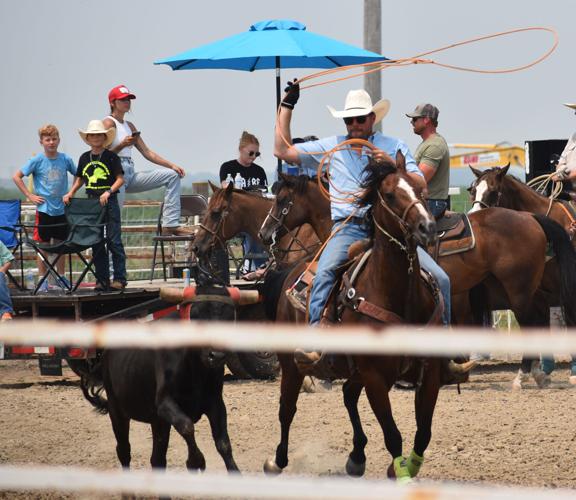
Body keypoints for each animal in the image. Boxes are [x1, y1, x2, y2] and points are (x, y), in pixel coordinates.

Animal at [79, 284, 238, 474]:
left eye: (229, 316)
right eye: (197, 314)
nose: (217, 355)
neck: (195, 368)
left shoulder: (215, 403)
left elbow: (223, 443)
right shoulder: (164, 404)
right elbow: (187, 426)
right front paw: (196, 460)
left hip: (157, 422)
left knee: (157, 459)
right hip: (117, 410)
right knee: (124, 450)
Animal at [260, 159, 464, 480]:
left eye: (421, 189)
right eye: (390, 195)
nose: (427, 228)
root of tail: (290, 274)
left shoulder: (429, 375)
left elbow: (423, 433)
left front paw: (404, 466)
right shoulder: (375, 377)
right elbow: (393, 435)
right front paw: (400, 472)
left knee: (345, 395)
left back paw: (356, 457)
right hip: (292, 365)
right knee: (287, 409)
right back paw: (277, 460)